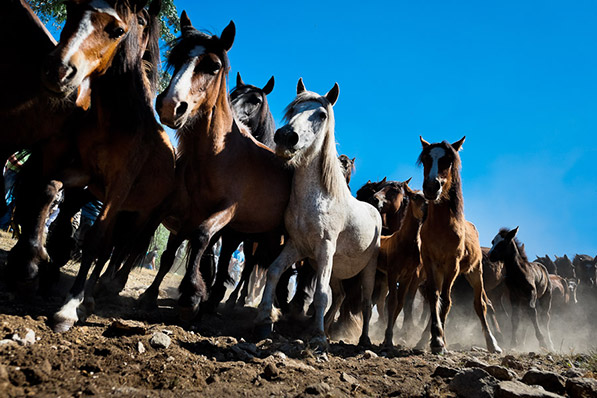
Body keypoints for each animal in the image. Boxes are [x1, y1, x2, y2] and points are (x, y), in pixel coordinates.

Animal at [155, 11, 292, 320]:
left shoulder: (228, 211)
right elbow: (182, 248)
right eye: (176, 58)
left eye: (213, 66)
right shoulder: (189, 210)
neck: (217, 156)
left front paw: (192, 295)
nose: (170, 105)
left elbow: (201, 237)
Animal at [254, 78, 380, 348]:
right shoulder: (297, 246)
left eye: (321, 114)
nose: (286, 137)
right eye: (293, 109)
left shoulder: (325, 249)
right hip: (337, 270)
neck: (319, 199)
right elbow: (274, 271)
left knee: (365, 304)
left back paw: (362, 339)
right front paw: (264, 320)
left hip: (368, 270)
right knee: (340, 296)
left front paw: (319, 338)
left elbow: (320, 295)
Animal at [416, 138, 500, 354]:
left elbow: (446, 301)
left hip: (474, 273)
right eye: (426, 159)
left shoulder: (452, 265)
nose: (431, 187)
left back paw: (492, 344)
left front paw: (439, 342)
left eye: (447, 160)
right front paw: (436, 338)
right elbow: (434, 297)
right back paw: (423, 339)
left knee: (481, 305)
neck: (441, 227)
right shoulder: (430, 263)